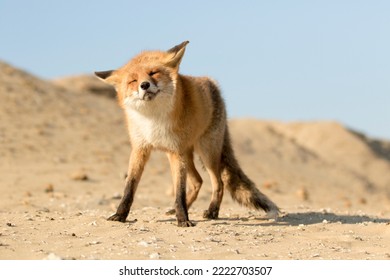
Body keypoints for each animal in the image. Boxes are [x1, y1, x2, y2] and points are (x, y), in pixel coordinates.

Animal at [95, 40, 278, 226]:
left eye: (153, 73)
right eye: (133, 80)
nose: (144, 85)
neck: (153, 120)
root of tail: (214, 86)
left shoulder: (176, 152)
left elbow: (179, 191)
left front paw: (183, 219)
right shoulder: (141, 148)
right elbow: (129, 187)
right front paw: (120, 215)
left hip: (205, 152)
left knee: (218, 183)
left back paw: (212, 211)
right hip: (184, 154)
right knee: (198, 181)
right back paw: (178, 209)